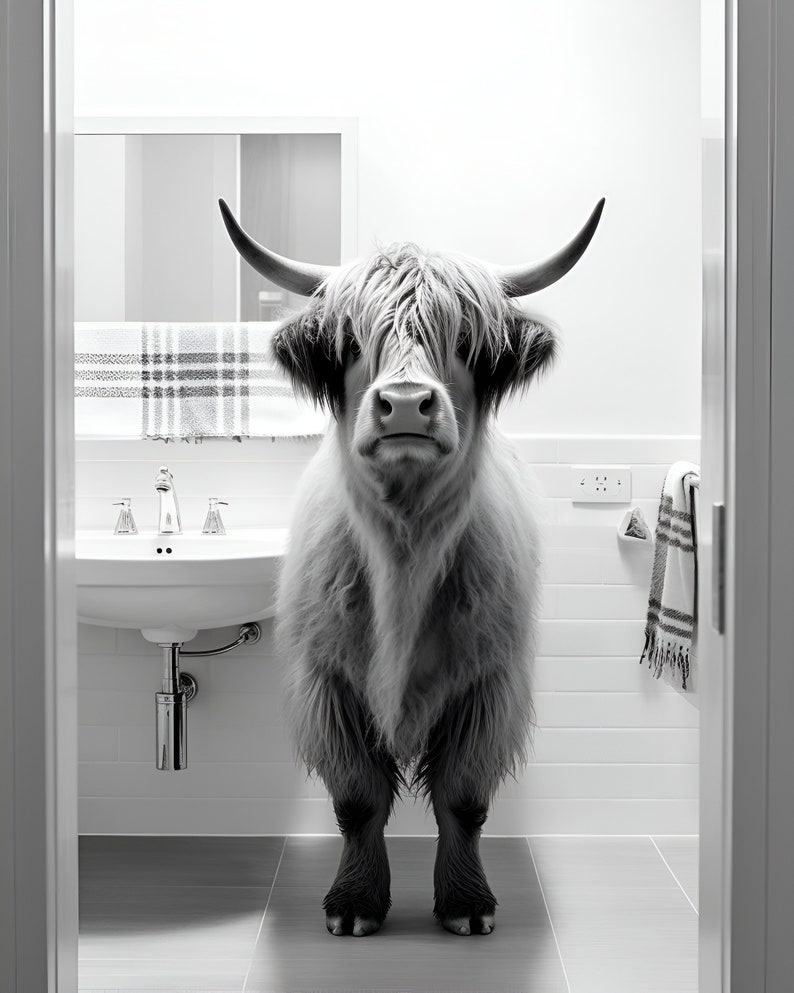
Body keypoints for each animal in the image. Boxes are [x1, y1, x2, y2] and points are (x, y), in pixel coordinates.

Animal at [220, 197, 604, 937]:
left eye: (465, 342)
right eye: (351, 342)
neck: (405, 554)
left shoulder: (488, 684)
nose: (403, 403)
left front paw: (467, 903)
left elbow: (464, 800)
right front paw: (353, 905)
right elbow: (358, 801)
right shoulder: (327, 682)